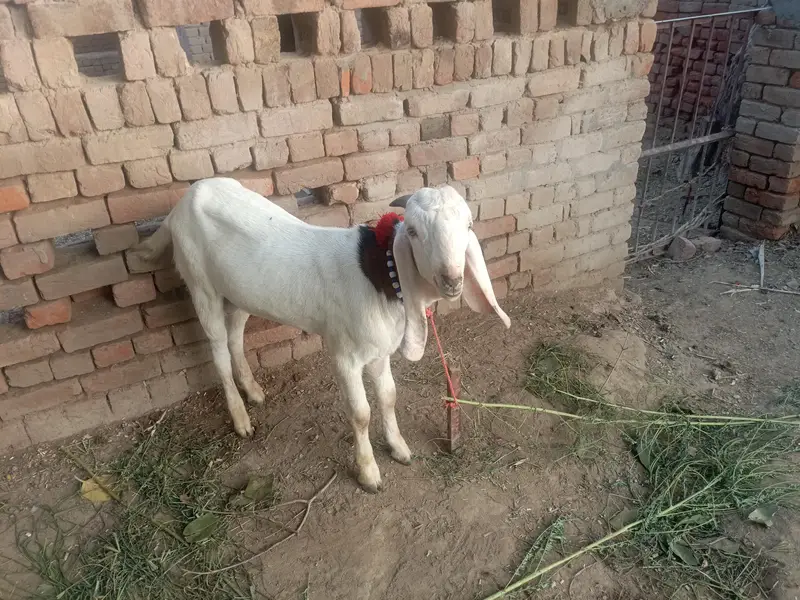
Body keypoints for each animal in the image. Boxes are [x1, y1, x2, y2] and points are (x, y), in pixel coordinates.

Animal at [132, 178, 510, 492]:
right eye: (414, 232)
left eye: (468, 225)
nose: (452, 280)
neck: (379, 277)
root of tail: (182, 203)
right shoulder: (345, 354)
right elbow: (361, 413)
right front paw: (368, 473)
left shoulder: (379, 350)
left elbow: (388, 396)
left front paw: (399, 448)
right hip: (200, 283)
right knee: (217, 348)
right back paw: (240, 418)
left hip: (238, 292)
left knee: (234, 336)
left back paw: (252, 391)